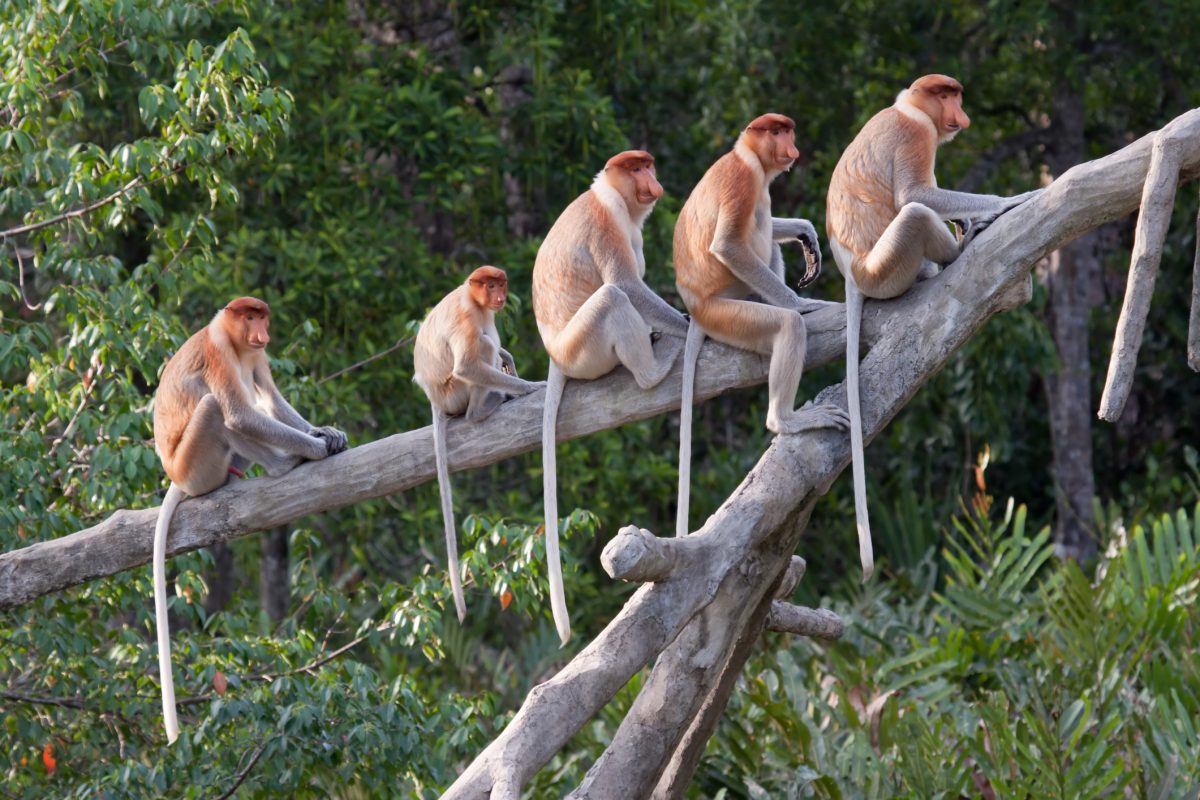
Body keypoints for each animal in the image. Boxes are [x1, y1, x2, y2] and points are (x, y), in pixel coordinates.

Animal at [152, 297, 345, 743]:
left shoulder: (257, 355)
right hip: (197, 466)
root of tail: (175, 475)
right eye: (249, 316)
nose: (261, 331)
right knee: (217, 409)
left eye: (262, 317)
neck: (236, 340)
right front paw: (313, 448)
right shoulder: (219, 352)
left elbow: (270, 398)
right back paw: (284, 463)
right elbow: (240, 414)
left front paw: (324, 432)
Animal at [415, 266, 542, 623]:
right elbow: (468, 364)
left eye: (501, 285)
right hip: (454, 392)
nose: (499, 296)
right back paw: (484, 407)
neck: (472, 297)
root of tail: (435, 399)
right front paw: (529, 386)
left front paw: (509, 359)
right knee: (481, 347)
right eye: (490, 285)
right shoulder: (467, 316)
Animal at [532, 149, 691, 647]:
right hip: (586, 347)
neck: (612, 197)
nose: (653, 183)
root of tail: (555, 354)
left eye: (648, 165)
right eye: (635, 168)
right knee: (612, 297)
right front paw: (686, 325)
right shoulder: (606, 225)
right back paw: (654, 366)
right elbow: (628, 283)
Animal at [676, 112, 854, 537]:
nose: (793, 147)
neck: (747, 156)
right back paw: (786, 419)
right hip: (729, 312)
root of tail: (696, 307)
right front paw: (804, 304)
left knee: (768, 237)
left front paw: (807, 233)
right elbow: (728, 246)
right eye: (778, 132)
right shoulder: (745, 181)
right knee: (784, 322)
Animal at [825, 74, 1041, 578]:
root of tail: (853, 273)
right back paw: (958, 248)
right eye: (946, 96)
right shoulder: (916, 135)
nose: (962, 115)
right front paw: (1005, 202)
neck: (908, 108)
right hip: (887, 267)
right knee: (915, 214)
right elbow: (915, 195)